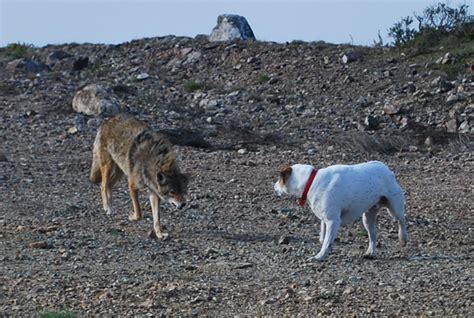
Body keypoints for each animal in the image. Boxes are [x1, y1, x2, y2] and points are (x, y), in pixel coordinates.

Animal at [274, 161, 408, 260]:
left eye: (280, 179)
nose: (274, 186)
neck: (310, 182)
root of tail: (386, 169)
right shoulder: (326, 220)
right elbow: (324, 238)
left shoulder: (333, 221)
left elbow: (326, 241)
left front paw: (319, 256)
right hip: (367, 218)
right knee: (373, 235)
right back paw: (371, 252)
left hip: (394, 209)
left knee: (401, 220)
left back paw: (403, 238)